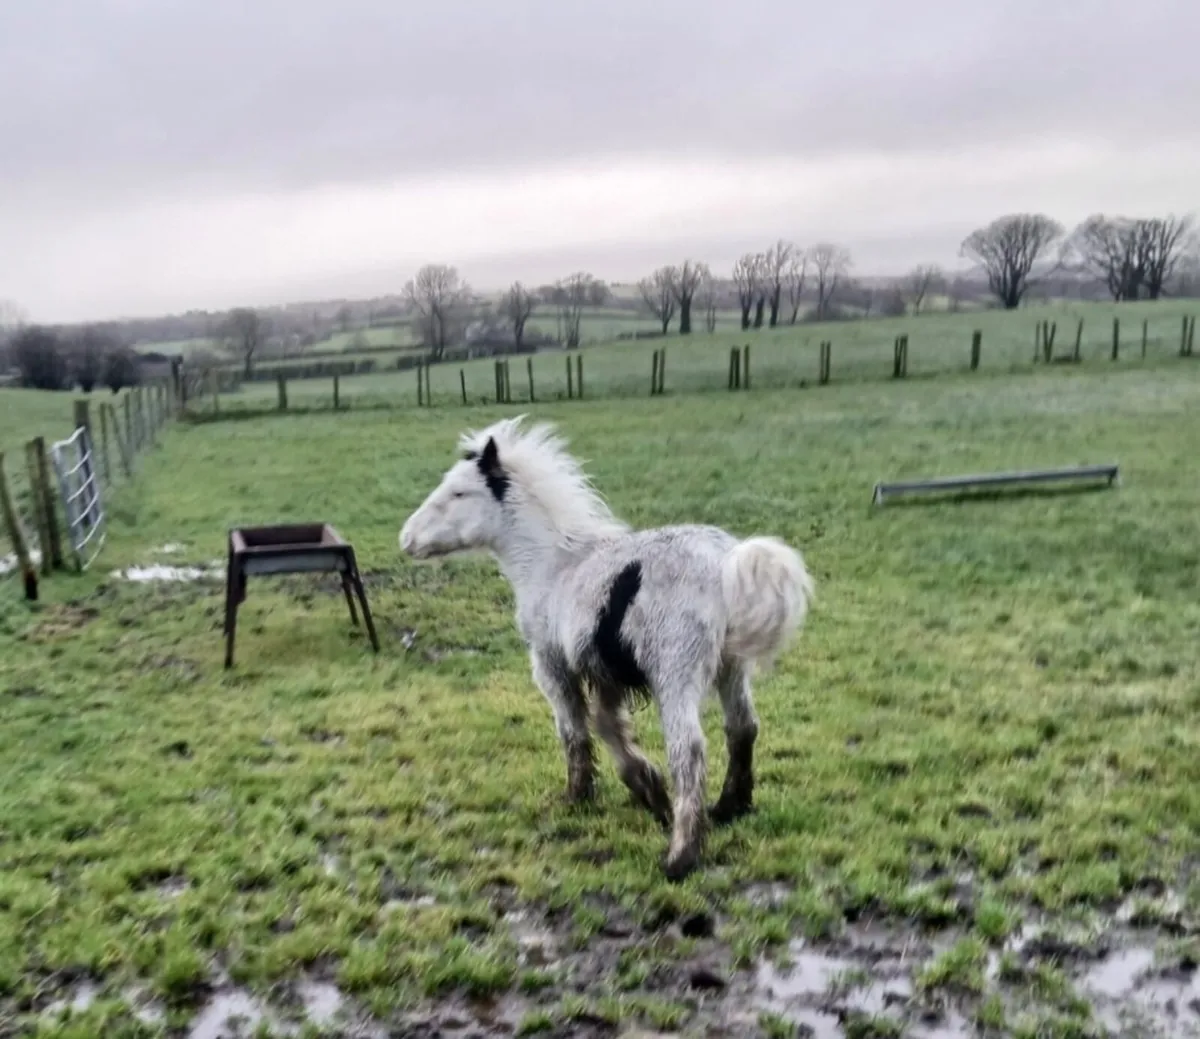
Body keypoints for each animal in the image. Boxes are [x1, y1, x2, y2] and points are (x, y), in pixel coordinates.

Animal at [399, 415, 815, 880]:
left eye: (458, 492)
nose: (406, 538)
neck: (555, 565)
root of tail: (727, 562)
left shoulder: (552, 665)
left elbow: (575, 730)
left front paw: (581, 797)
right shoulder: (604, 671)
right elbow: (608, 725)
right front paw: (649, 791)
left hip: (675, 671)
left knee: (688, 749)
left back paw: (681, 855)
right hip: (731, 666)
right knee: (742, 727)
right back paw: (730, 807)